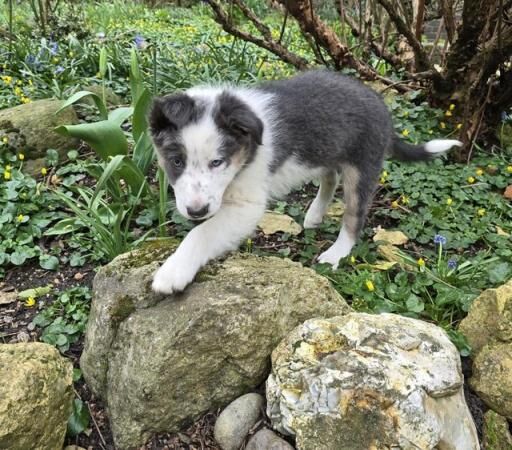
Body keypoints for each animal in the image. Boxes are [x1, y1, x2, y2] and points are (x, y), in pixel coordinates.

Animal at [148, 69, 460, 296]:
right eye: (176, 162)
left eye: (217, 162)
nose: (196, 211)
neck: (246, 149)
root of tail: (381, 105)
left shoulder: (246, 205)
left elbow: (201, 234)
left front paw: (173, 271)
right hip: (327, 152)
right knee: (330, 177)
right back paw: (314, 215)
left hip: (363, 166)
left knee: (354, 216)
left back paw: (336, 253)